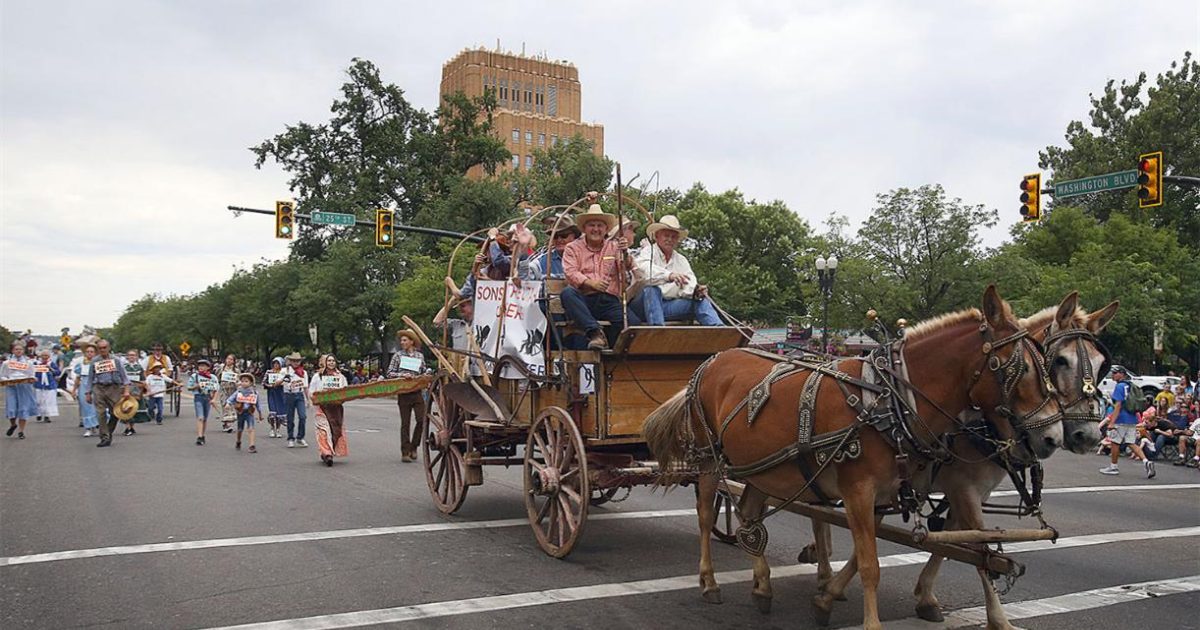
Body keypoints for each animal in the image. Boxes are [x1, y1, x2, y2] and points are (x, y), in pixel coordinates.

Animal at [648, 285, 1060, 628]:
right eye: (1022, 368)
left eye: (1049, 365)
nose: (1054, 437)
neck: (889, 400)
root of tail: (712, 360)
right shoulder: (858, 490)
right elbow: (870, 566)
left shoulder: (883, 494)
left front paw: (826, 596)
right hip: (708, 457)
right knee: (704, 514)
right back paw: (709, 581)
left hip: (761, 467)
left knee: (749, 514)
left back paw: (763, 586)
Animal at [801, 295, 1118, 628]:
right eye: (1060, 361)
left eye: (1101, 366)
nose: (1088, 436)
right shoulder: (963, 487)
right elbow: (979, 547)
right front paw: (998, 618)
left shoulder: (965, 490)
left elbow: (949, 543)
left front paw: (924, 596)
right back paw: (822, 570)